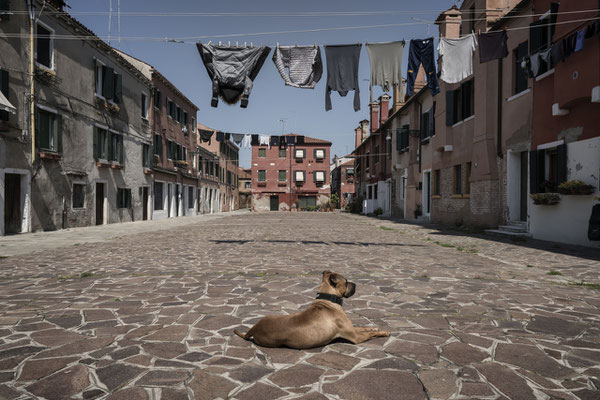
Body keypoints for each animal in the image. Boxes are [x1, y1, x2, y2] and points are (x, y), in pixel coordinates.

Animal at [232, 270, 392, 348]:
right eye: (346, 282)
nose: (356, 284)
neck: (328, 299)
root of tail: (254, 329)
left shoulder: (352, 329)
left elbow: (364, 327)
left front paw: (374, 327)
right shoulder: (355, 337)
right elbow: (369, 334)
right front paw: (384, 332)